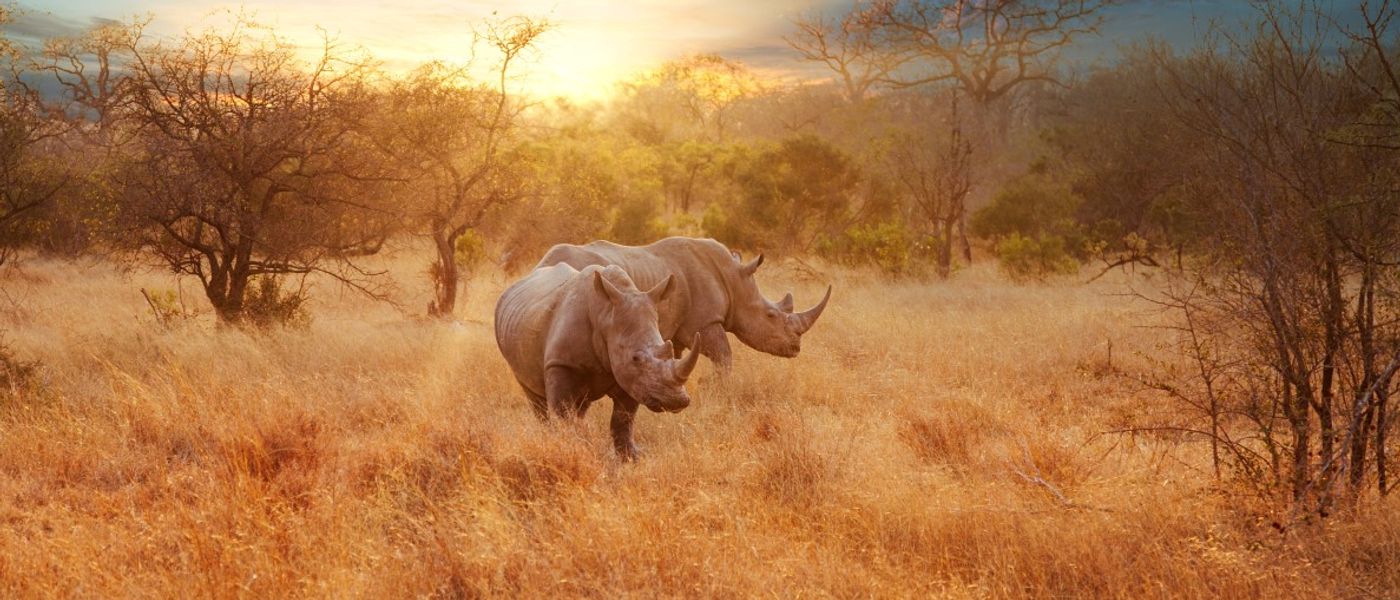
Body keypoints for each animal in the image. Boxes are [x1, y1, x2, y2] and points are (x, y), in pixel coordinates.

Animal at [494, 263, 702, 458]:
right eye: (635, 358)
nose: (675, 401)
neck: (605, 316)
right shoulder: (561, 363)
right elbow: (563, 414)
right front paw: (570, 449)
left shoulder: (632, 379)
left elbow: (622, 420)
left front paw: (629, 458)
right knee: (536, 399)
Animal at [537, 237, 831, 370]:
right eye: (771, 315)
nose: (796, 348)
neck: (734, 280)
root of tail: (542, 265)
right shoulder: (703, 321)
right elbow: (724, 357)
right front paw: (721, 395)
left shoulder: (675, 328)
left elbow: (676, 358)